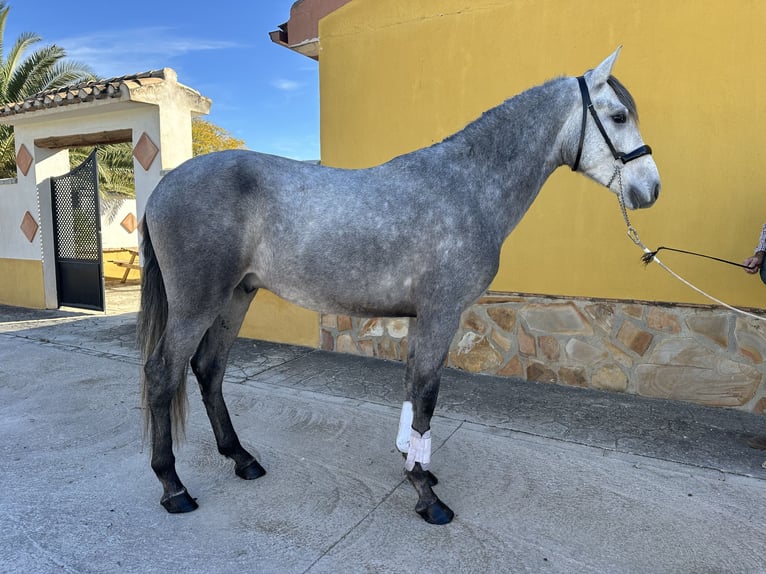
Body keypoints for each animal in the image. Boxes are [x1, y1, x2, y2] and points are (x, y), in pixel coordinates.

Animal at [141, 49, 664, 528]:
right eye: (618, 116)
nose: (651, 189)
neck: (467, 188)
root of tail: (166, 184)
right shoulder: (441, 315)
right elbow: (427, 396)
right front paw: (426, 497)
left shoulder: (422, 319)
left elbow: (413, 391)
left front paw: (418, 470)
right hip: (196, 305)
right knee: (163, 374)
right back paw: (173, 487)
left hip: (236, 296)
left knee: (209, 369)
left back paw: (242, 459)